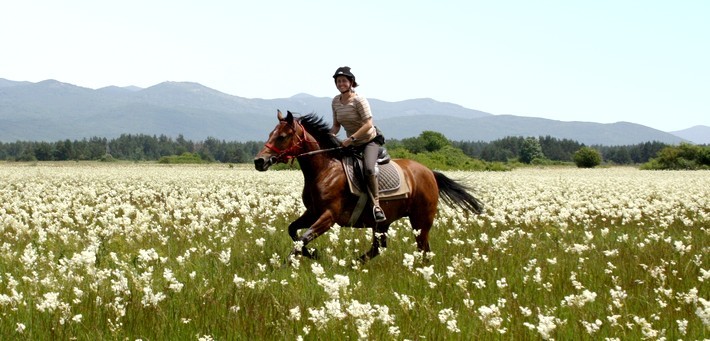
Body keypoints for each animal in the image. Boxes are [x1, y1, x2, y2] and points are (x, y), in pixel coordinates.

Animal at [252, 110, 484, 262]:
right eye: (270, 134)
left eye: (282, 136)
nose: (259, 161)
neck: (324, 169)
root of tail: (429, 172)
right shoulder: (312, 212)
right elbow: (293, 231)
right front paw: (314, 254)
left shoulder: (328, 216)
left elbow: (302, 238)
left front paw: (288, 263)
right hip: (383, 224)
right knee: (379, 248)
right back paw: (354, 263)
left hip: (421, 221)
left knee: (423, 249)